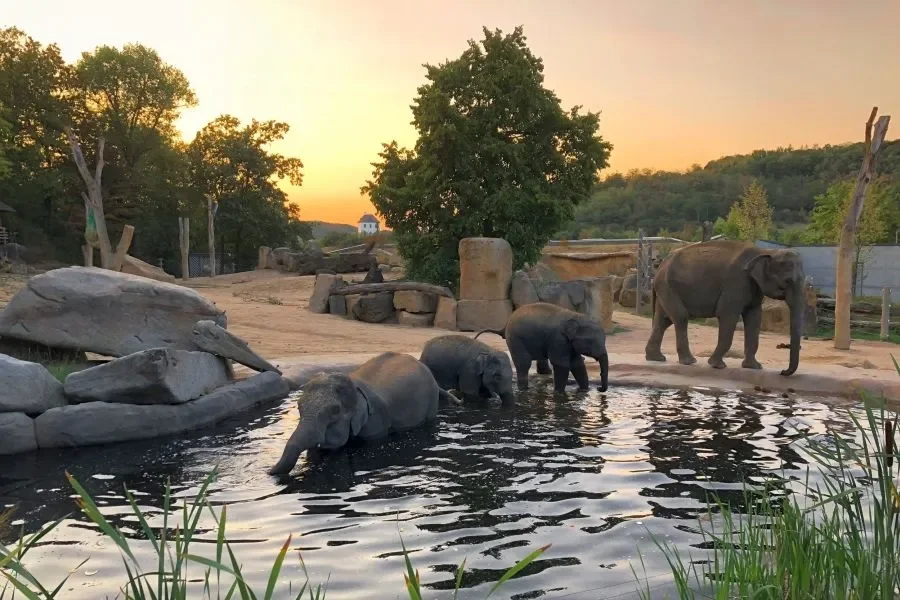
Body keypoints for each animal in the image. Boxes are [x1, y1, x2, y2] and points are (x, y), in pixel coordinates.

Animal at [268, 352, 452, 475]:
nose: (267, 471)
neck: (354, 385)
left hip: (431, 402)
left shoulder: (375, 421)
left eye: (335, 411)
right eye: (299, 406)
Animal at [475, 302, 609, 393]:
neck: (576, 316)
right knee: (524, 363)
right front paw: (559, 393)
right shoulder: (558, 339)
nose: (599, 388)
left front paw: (584, 391)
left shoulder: (568, 343)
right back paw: (524, 389)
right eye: (591, 341)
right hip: (516, 340)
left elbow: (577, 364)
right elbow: (561, 364)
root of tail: (506, 324)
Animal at [644, 240, 806, 376]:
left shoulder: (754, 286)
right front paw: (717, 365)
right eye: (787, 281)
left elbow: (754, 317)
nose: (783, 371)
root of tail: (661, 266)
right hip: (667, 286)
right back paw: (689, 362)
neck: (765, 251)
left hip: (666, 287)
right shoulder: (736, 282)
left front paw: (754, 367)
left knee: (663, 321)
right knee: (681, 317)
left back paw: (656, 358)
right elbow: (728, 315)